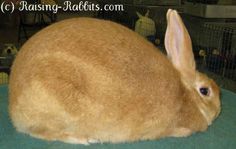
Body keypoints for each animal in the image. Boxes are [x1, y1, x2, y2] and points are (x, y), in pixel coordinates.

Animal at [8, 9, 220, 144]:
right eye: (205, 91)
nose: (219, 110)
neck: (185, 95)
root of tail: (13, 106)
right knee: (41, 132)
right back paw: (83, 139)